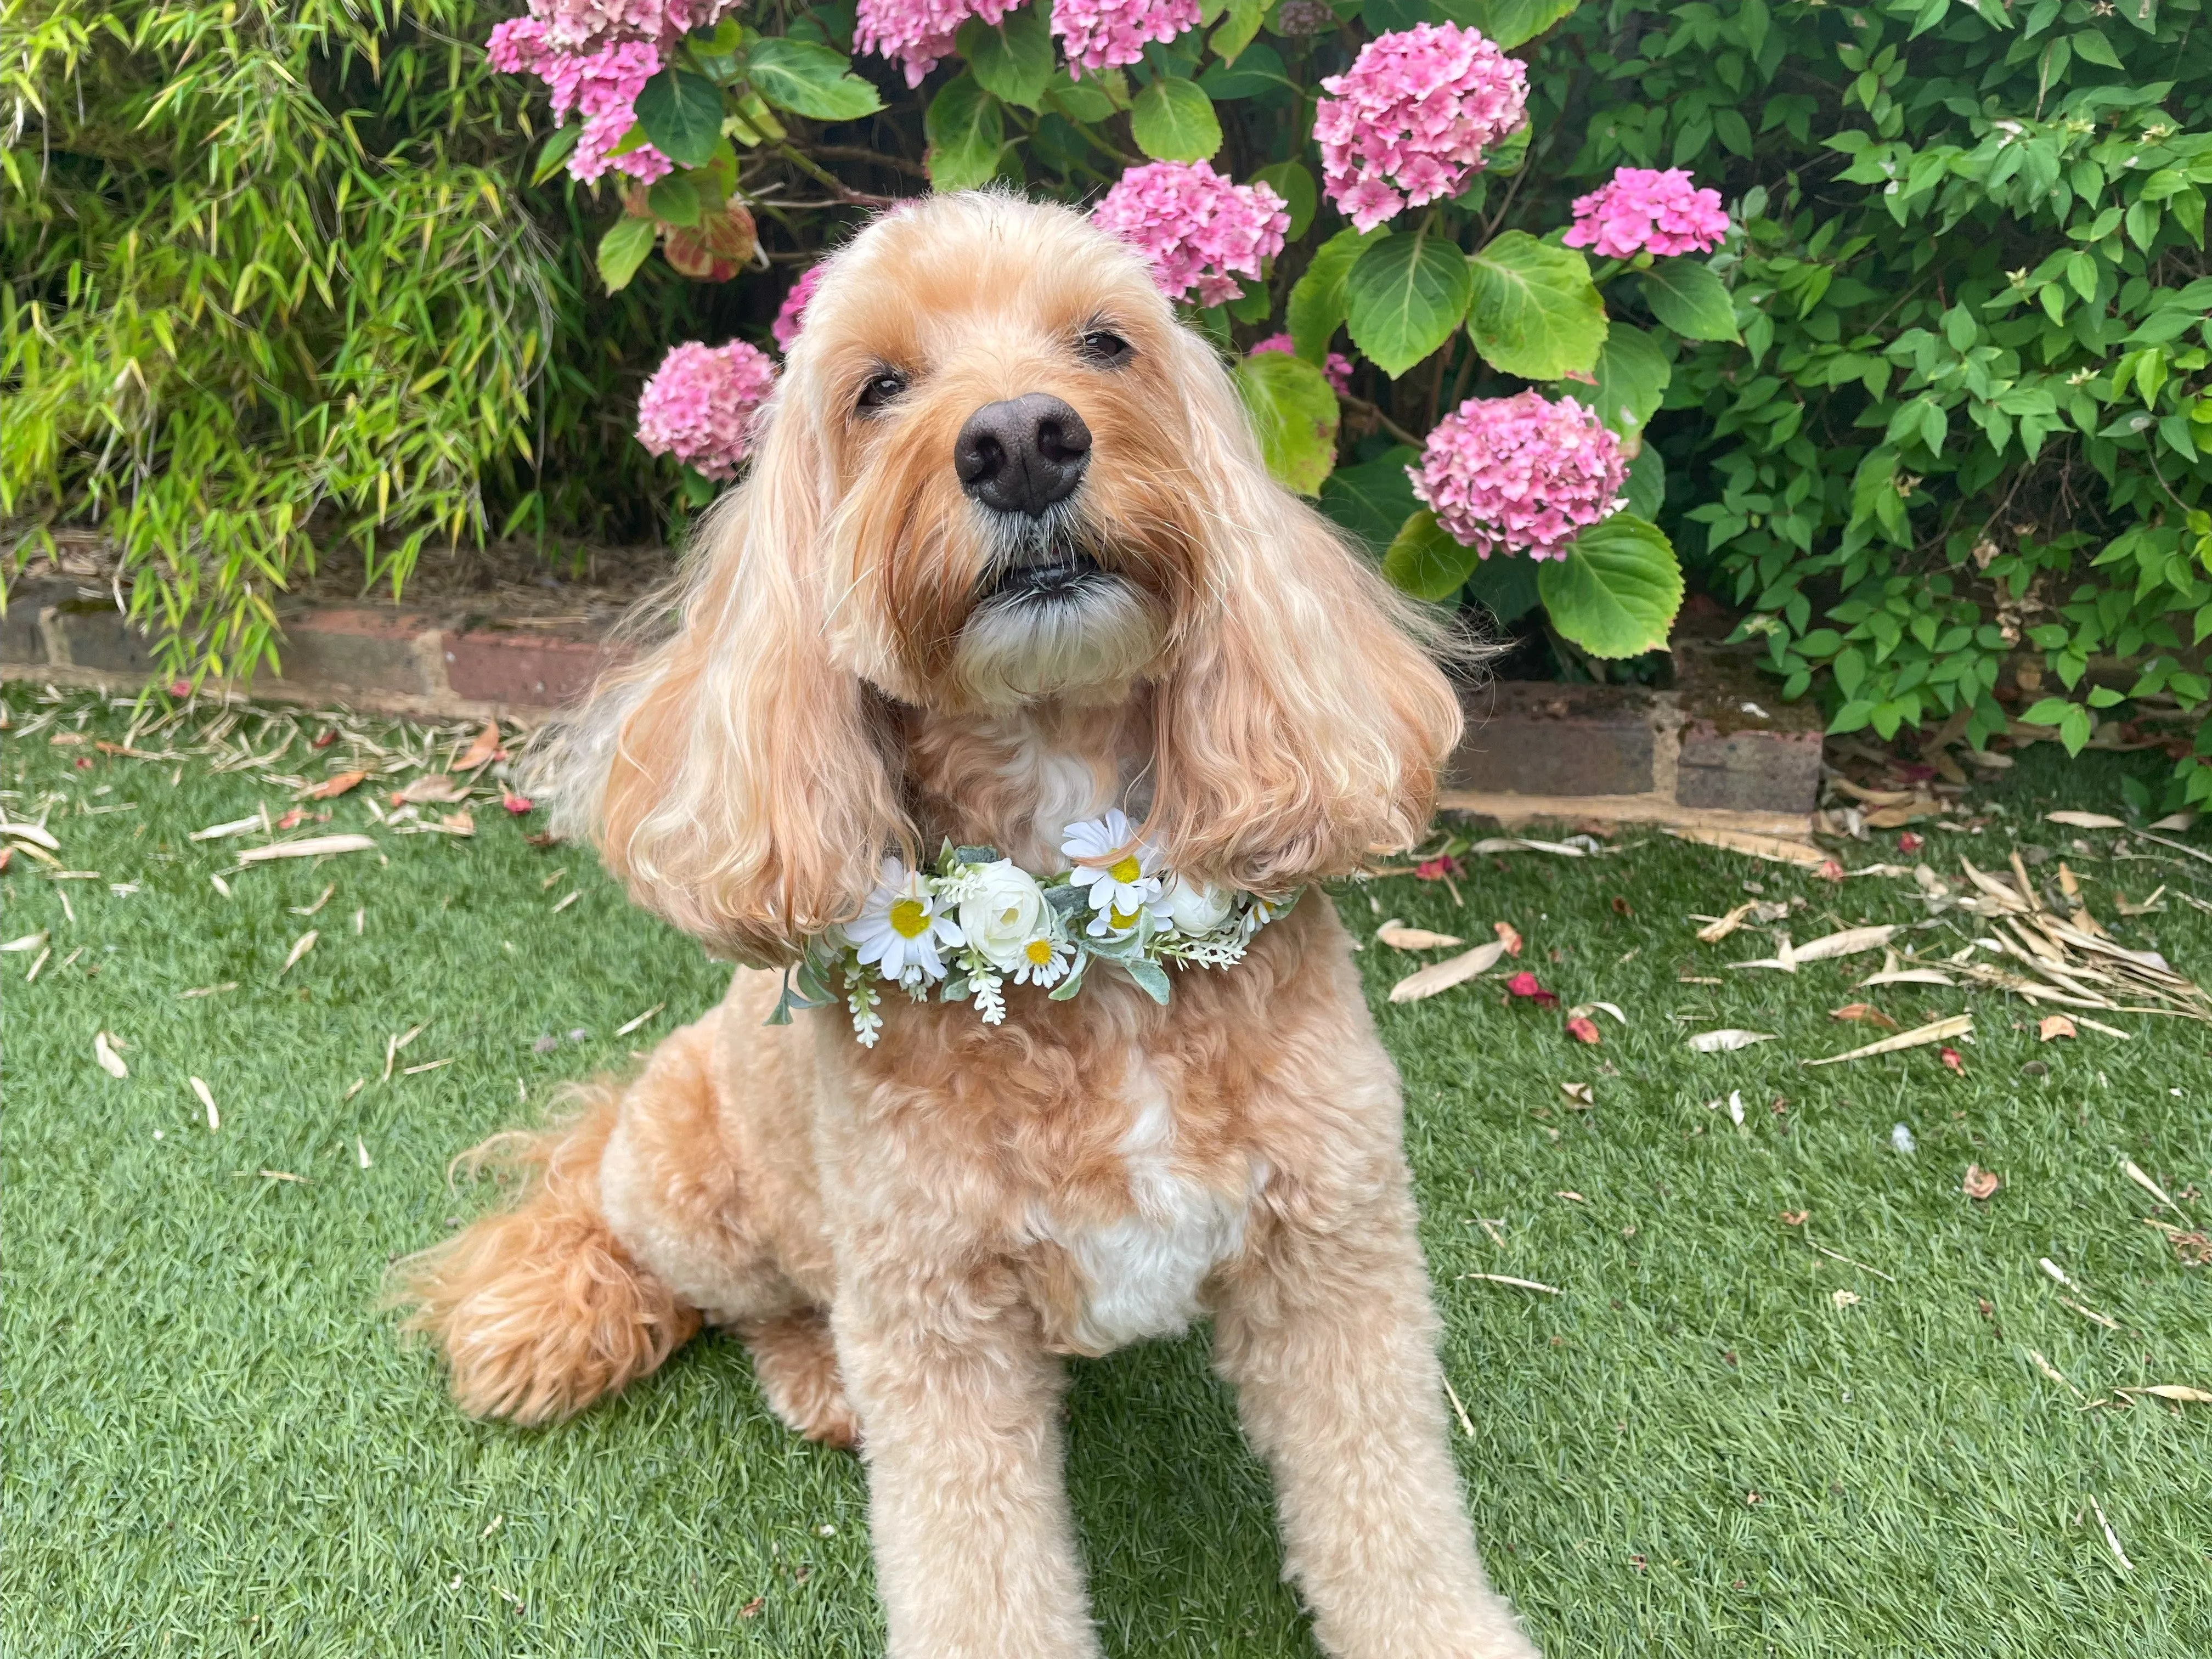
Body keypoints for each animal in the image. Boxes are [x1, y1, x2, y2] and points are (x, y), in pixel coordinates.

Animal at [398, 188, 1539, 1654]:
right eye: (878, 387)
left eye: (1107, 342)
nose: (1022, 443)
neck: (1082, 934)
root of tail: (603, 1136)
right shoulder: (938, 1324)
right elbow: (977, 1573)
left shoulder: (1335, 1255)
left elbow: (1388, 1509)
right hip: (700, 1205)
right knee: (756, 1308)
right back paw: (817, 1380)